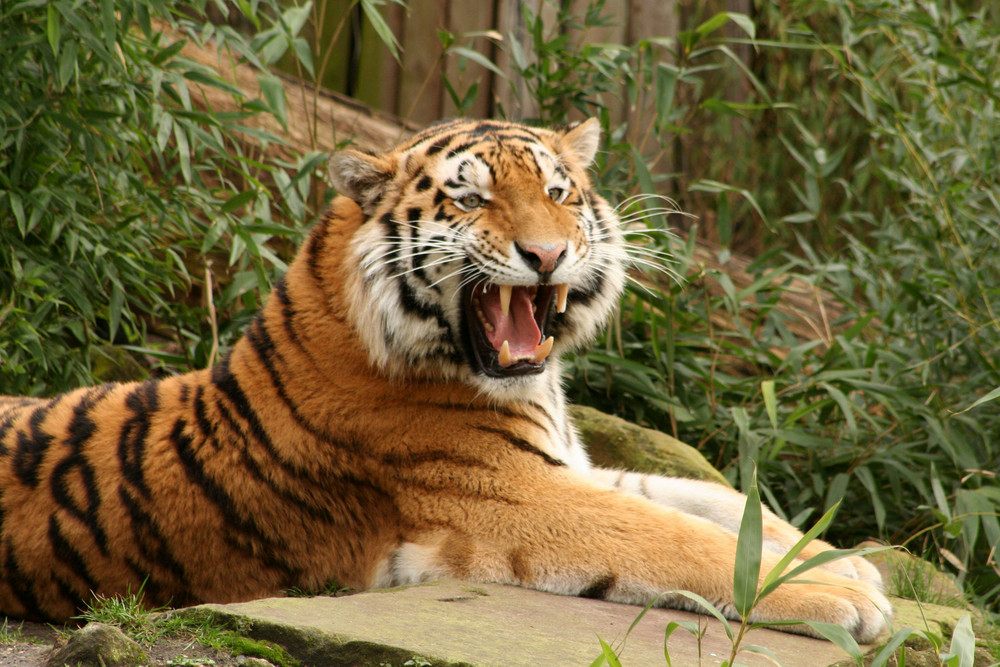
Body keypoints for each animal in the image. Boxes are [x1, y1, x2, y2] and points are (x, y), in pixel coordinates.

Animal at [0, 117, 892, 644]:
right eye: (472, 199)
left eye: (558, 192)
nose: (547, 253)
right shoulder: (512, 493)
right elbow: (679, 539)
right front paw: (852, 596)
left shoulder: (572, 463)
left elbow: (721, 502)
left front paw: (842, 559)